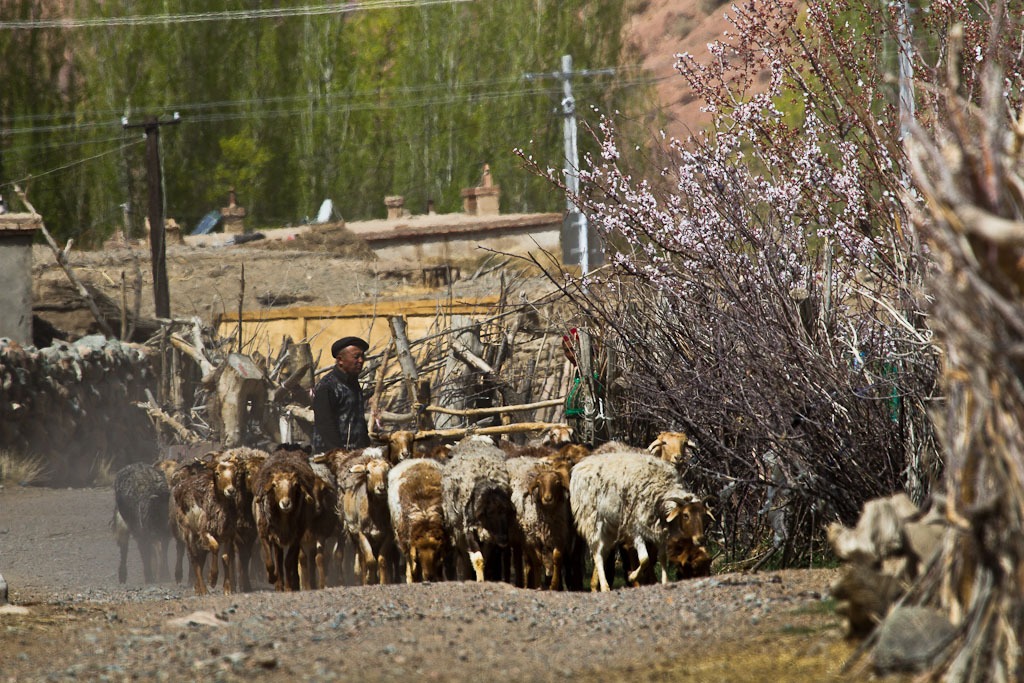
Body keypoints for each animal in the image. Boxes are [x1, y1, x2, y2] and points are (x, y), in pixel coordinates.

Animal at [569, 450, 704, 589]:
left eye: (702, 514)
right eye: (685, 515)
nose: (700, 539)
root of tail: (580, 465)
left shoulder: (659, 529)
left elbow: (662, 557)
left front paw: (665, 581)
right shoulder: (635, 528)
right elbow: (645, 559)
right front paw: (632, 576)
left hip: (610, 526)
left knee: (603, 551)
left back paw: (596, 584)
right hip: (592, 519)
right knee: (597, 553)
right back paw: (605, 586)